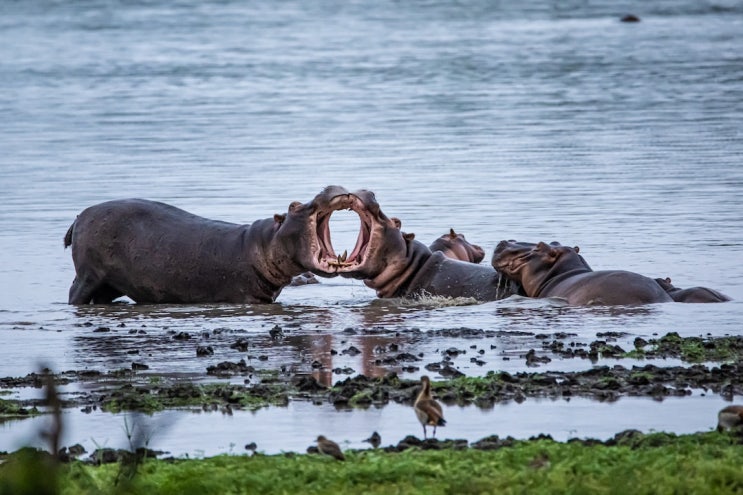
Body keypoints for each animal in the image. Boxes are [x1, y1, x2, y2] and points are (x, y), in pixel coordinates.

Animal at [64, 184, 396, 304]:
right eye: (293, 205)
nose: (331, 186)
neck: (263, 243)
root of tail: (79, 216)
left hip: (109, 285)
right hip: (89, 276)